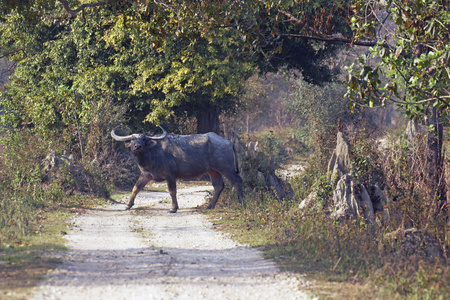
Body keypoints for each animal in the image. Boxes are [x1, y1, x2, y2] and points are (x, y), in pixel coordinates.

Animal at [111, 125, 244, 212]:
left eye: (144, 139)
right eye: (133, 139)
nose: (137, 146)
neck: (152, 153)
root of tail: (229, 142)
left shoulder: (170, 175)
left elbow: (172, 191)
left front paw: (173, 208)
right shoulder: (146, 175)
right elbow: (136, 188)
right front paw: (128, 205)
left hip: (226, 168)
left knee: (237, 181)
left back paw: (241, 202)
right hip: (213, 171)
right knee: (218, 186)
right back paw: (210, 206)